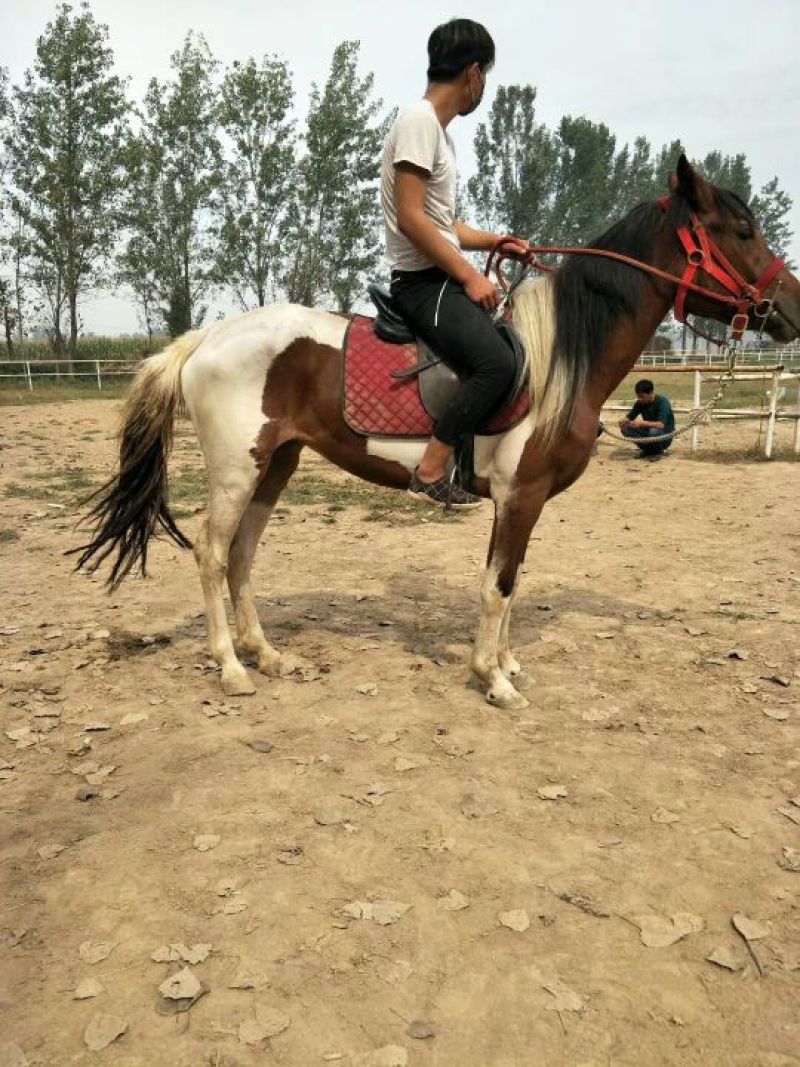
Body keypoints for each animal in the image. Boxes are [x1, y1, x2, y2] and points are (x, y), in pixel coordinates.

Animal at [72, 156, 800, 710]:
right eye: (742, 230)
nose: (791, 308)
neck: (559, 356)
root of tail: (204, 339)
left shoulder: (519, 502)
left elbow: (511, 582)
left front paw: (504, 664)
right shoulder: (519, 495)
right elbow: (498, 586)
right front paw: (495, 679)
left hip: (275, 462)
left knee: (243, 554)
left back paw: (267, 653)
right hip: (235, 468)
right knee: (212, 553)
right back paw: (230, 666)